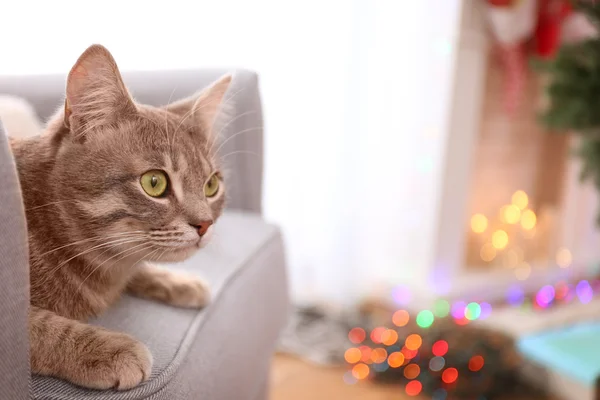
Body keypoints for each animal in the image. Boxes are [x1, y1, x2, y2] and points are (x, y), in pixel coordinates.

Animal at [11, 44, 232, 390]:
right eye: (154, 182)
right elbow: (39, 328)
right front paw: (107, 349)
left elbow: (140, 266)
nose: (205, 224)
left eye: (211, 185)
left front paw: (179, 282)